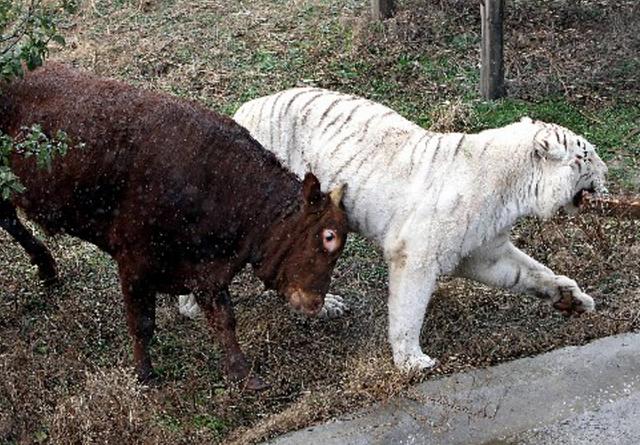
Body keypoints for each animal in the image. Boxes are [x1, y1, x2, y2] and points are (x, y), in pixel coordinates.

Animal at [0, 64, 348, 390]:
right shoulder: (134, 262)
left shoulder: (206, 270)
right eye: (328, 236)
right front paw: (144, 375)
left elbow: (224, 319)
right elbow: (142, 324)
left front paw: (244, 374)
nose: (315, 302)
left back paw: (47, 269)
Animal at [182, 87, 608, 372]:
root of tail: (241, 112)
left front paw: (571, 298)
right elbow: (409, 308)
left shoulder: (483, 250)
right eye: (586, 155)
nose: (607, 174)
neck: (514, 189)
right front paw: (411, 361)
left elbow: (532, 272)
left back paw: (327, 306)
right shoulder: (416, 252)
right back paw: (191, 307)